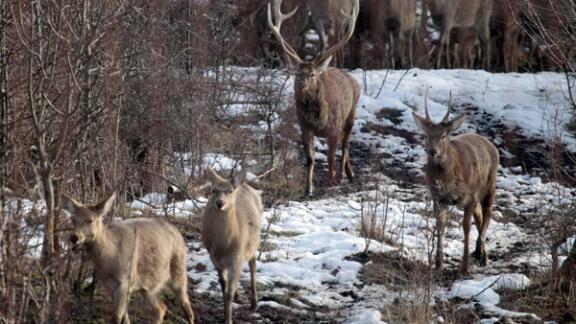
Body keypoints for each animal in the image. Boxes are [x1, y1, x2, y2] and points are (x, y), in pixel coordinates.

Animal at [62, 192, 195, 324]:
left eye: (90, 220)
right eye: (73, 219)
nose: (74, 238)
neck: (109, 259)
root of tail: (178, 232)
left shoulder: (125, 279)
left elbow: (117, 317)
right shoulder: (109, 285)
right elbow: (124, 318)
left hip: (179, 270)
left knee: (186, 306)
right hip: (147, 286)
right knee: (161, 308)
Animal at [201, 167, 262, 324]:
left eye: (230, 190)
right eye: (213, 190)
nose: (219, 203)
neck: (223, 245)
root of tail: (245, 184)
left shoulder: (237, 257)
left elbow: (228, 292)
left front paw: (228, 319)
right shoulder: (214, 259)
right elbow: (223, 286)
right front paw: (224, 314)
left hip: (253, 242)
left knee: (253, 263)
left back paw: (254, 303)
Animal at [266, 0, 358, 196]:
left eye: (312, 74)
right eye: (296, 73)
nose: (301, 85)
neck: (318, 119)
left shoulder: (334, 128)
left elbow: (331, 157)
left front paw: (331, 182)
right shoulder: (305, 127)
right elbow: (310, 158)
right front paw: (308, 188)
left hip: (351, 115)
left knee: (346, 145)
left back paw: (343, 175)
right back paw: (349, 173)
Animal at [414, 93, 500, 276]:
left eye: (443, 135)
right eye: (426, 134)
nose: (432, 151)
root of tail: (491, 145)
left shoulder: (470, 196)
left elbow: (465, 227)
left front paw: (464, 267)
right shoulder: (438, 197)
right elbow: (440, 225)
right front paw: (438, 264)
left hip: (490, 184)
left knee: (488, 212)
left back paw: (480, 252)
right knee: (479, 215)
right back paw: (483, 254)